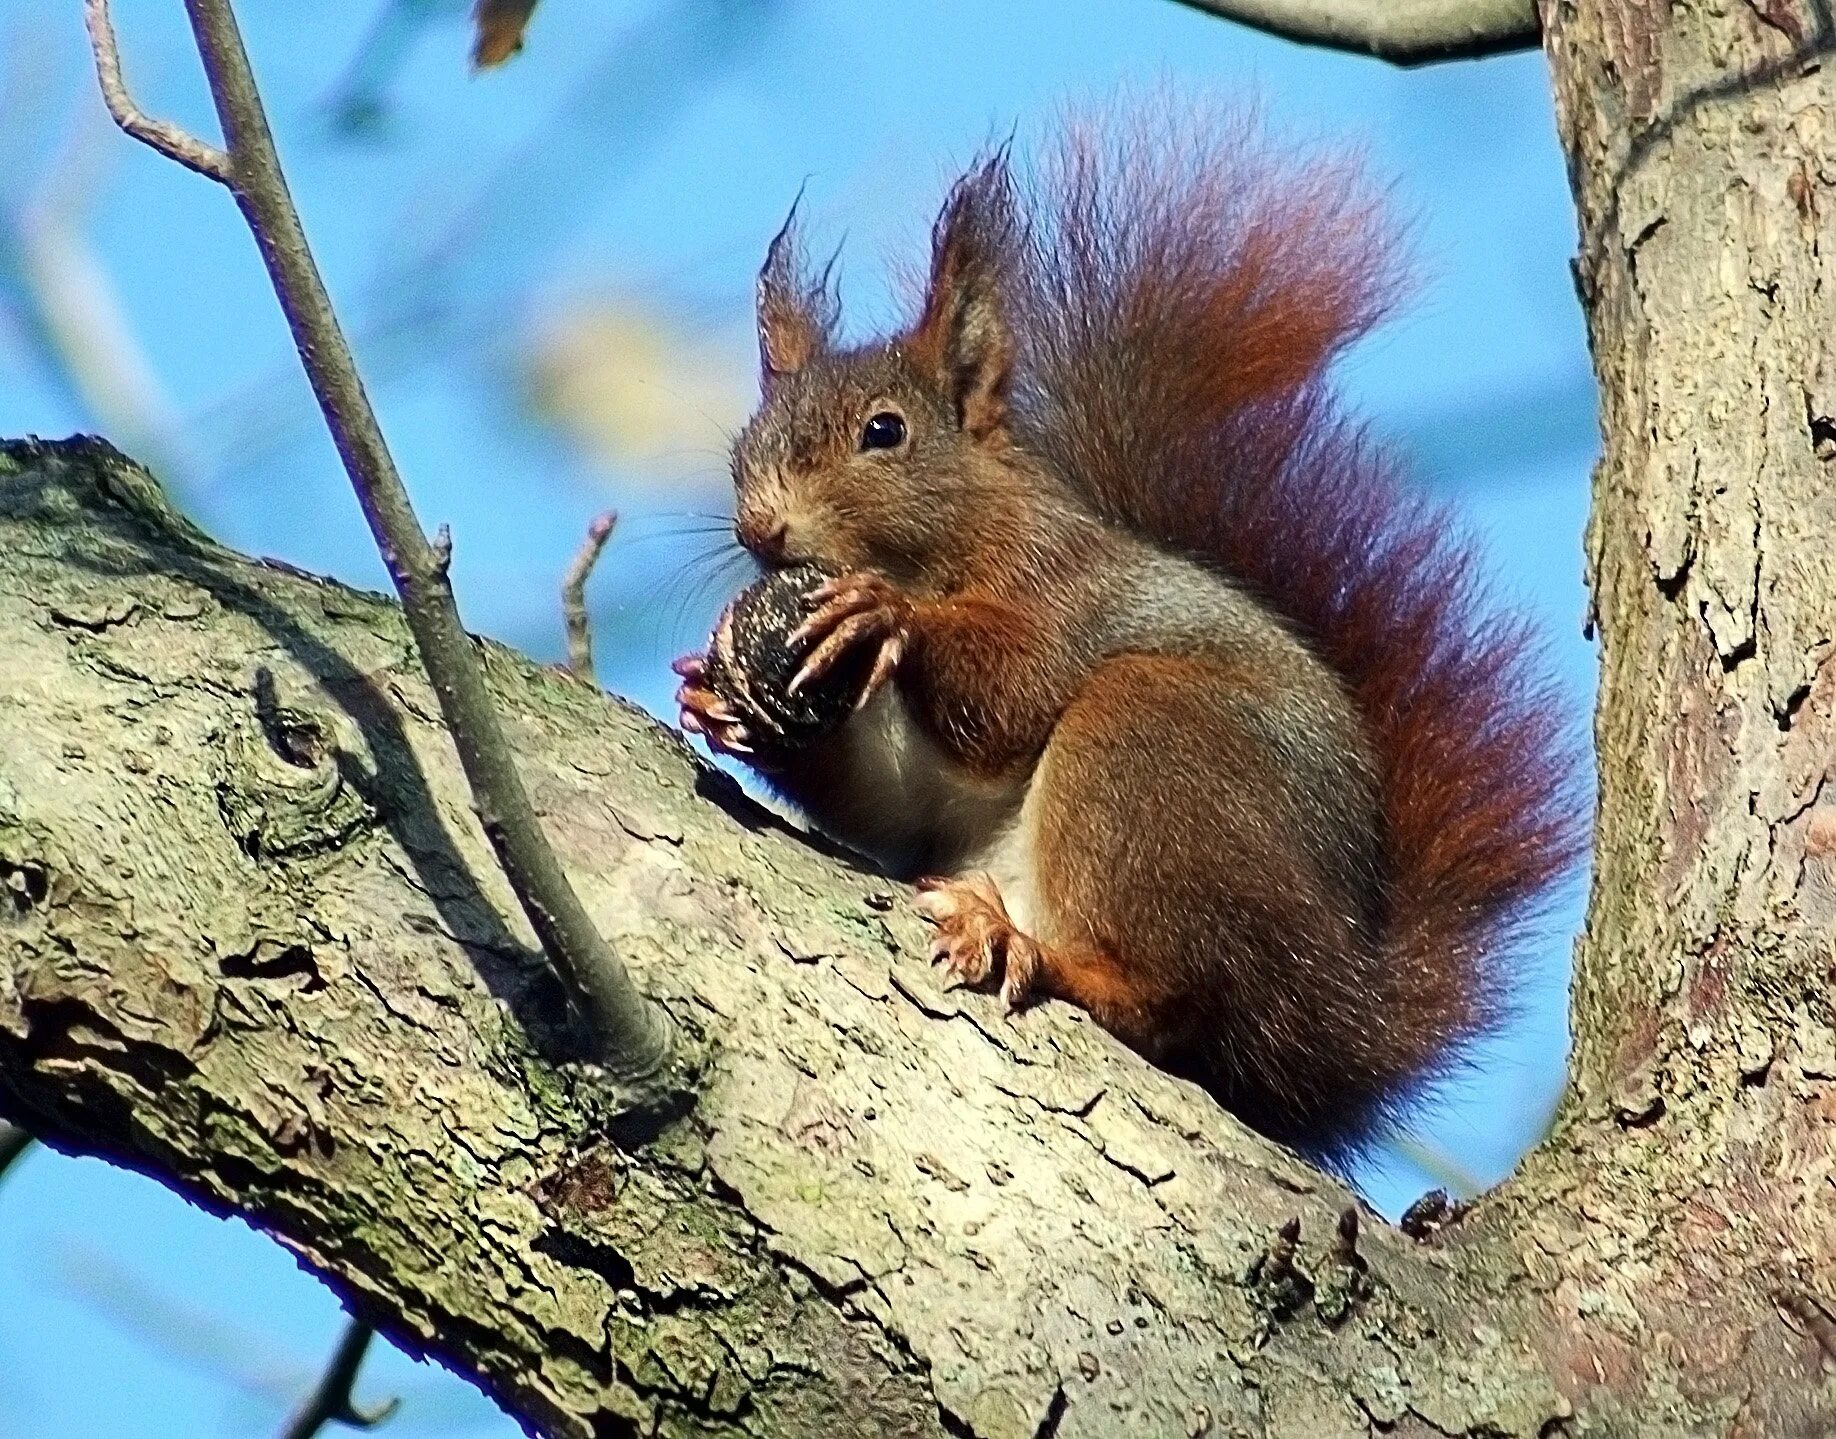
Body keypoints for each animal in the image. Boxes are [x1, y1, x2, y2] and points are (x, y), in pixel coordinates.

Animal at [668, 112, 1586, 1167]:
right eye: (745, 444)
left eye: (885, 431)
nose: (761, 529)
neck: (966, 535)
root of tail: (1343, 1019)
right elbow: (890, 803)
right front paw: (719, 700)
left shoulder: (1070, 593)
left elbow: (1015, 692)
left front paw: (884, 615)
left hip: (1149, 749)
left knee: (1179, 1004)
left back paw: (1036, 952)